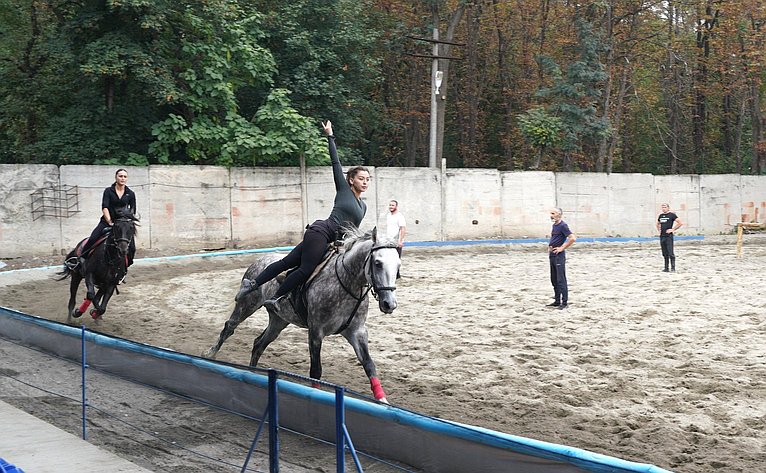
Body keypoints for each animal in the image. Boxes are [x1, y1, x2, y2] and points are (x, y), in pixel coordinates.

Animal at [204, 228, 402, 402]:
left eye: (398, 265)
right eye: (377, 263)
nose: (389, 304)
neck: (346, 283)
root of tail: (260, 259)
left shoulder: (357, 332)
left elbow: (369, 365)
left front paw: (383, 400)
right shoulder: (316, 332)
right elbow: (316, 371)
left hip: (278, 321)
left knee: (259, 343)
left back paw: (253, 373)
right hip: (247, 305)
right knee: (229, 327)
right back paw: (210, 354)